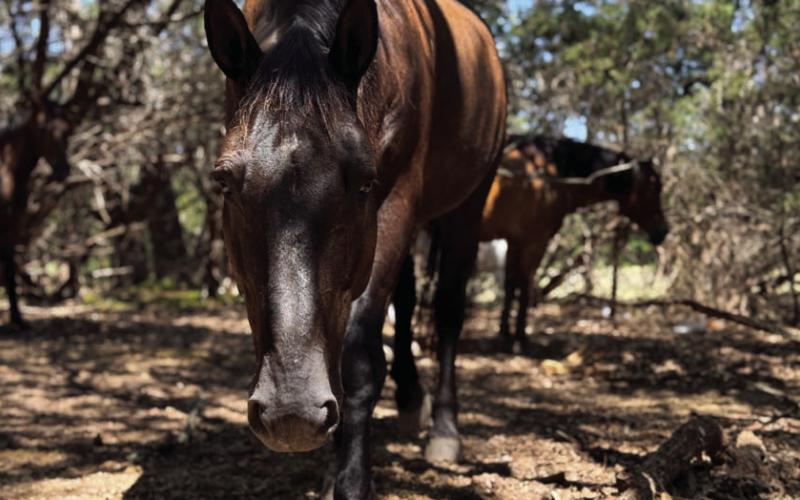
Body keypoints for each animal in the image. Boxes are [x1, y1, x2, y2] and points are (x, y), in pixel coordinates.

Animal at [0, 100, 72, 329]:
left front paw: (18, 319)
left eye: (68, 130)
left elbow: (10, 270)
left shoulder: (12, 227)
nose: (62, 170)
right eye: (42, 129)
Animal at [203, 0, 506, 497]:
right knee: (406, 300)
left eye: (364, 181)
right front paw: (332, 469)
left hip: (467, 206)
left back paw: (444, 429)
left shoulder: (395, 201)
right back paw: (410, 399)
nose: (291, 413)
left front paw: (350, 481)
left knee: (447, 312)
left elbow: (360, 356)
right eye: (224, 181)